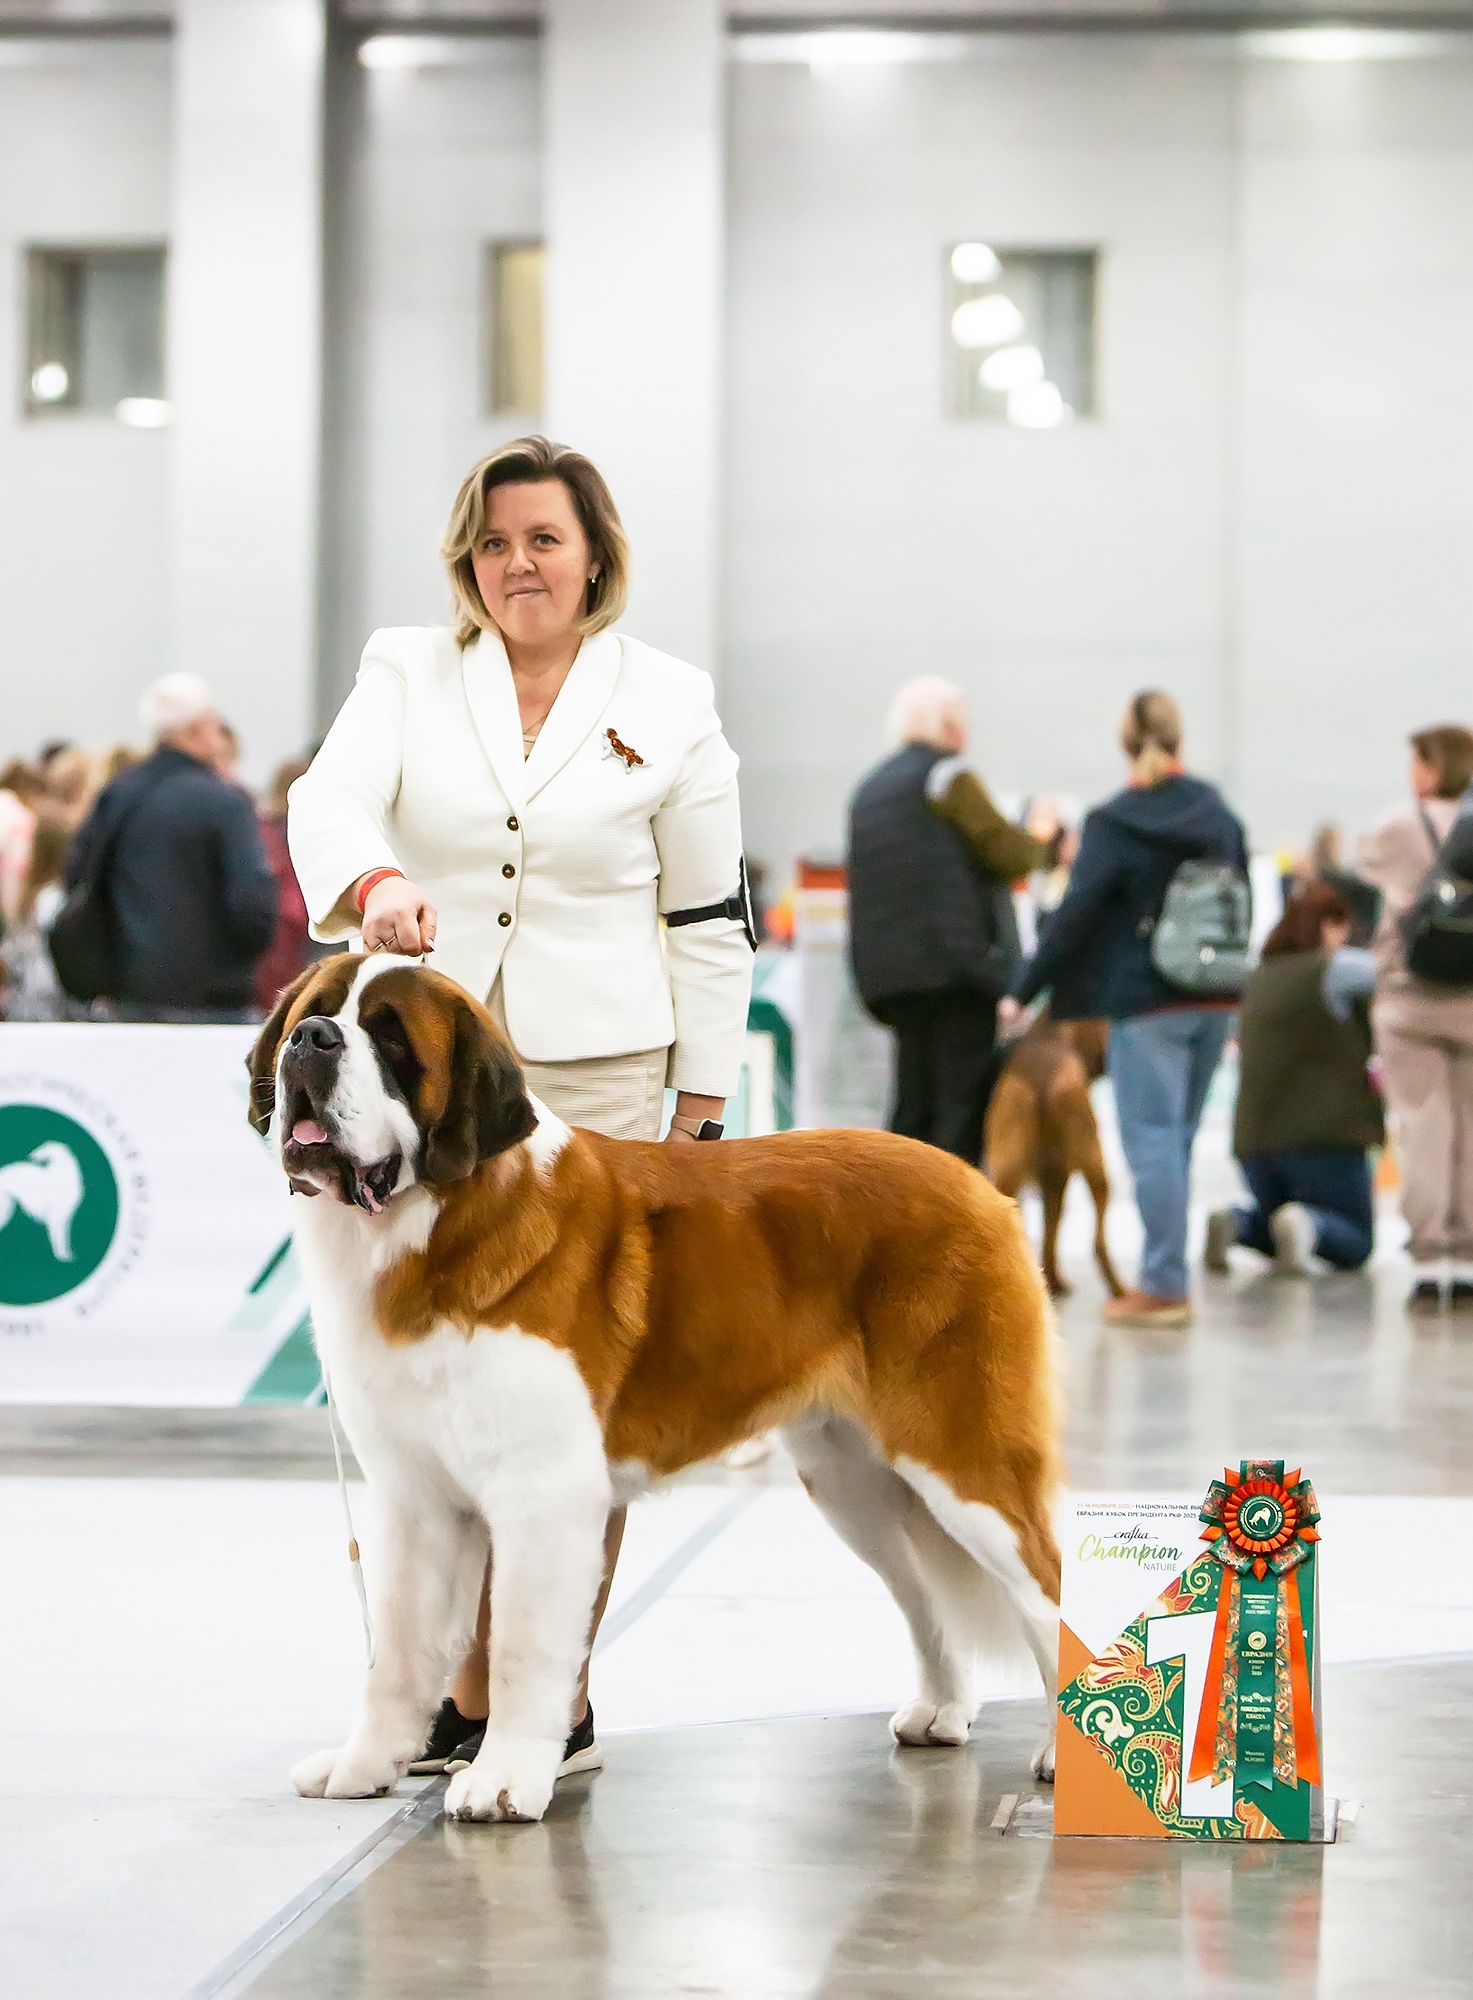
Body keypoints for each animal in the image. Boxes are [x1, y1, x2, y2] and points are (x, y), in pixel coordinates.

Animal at [247, 955, 1062, 1824]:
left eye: (392, 1040)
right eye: (313, 1012)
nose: (312, 1040)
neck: (438, 1221)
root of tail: (977, 1184)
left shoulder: (544, 1498)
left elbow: (520, 1647)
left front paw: (504, 1779)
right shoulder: (413, 1497)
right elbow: (395, 1649)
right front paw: (365, 1765)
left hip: (960, 1459)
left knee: (1045, 1589)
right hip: (854, 1483)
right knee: (921, 1594)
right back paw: (941, 1710)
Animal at [984, 1016, 1124, 1300]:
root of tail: (1041, 1080)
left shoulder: (1049, 1177)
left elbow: (1049, 1231)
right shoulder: (1058, 1177)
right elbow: (1052, 1229)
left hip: (1008, 1169)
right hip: (1096, 1166)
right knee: (1098, 1243)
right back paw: (1120, 1289)